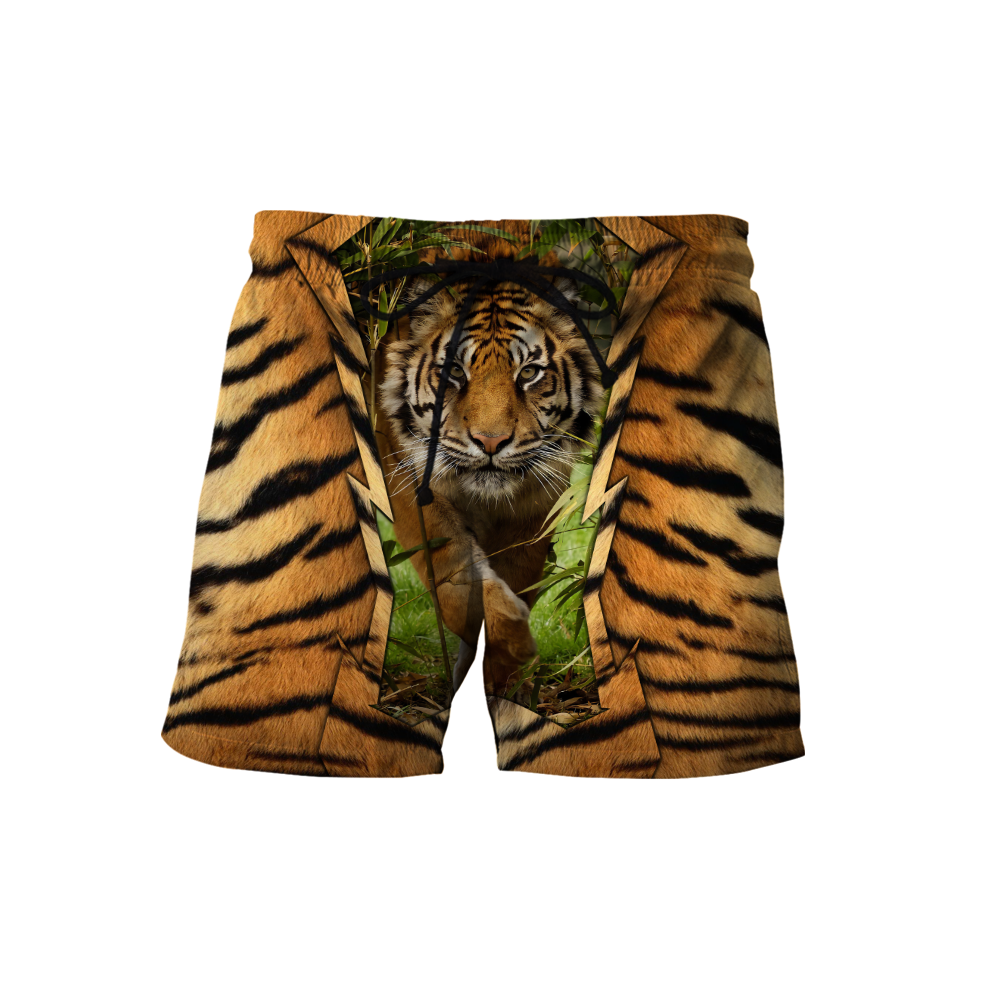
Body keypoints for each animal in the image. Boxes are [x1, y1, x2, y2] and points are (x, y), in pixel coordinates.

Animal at [376, 229, 605, 699]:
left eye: (529, 373)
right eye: (454, 372)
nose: (491, 442)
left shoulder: (538, 502)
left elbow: (516, 576)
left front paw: (498, 677)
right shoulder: (408, 479)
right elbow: (453, 573)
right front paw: (510, 641)